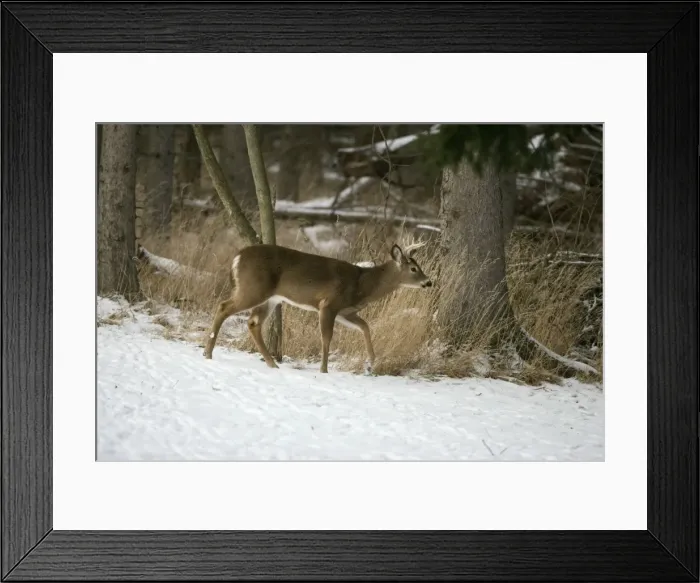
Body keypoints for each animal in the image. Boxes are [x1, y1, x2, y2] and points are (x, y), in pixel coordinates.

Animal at [203, 239, 433, 373]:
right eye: (414, 268)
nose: (429, 282)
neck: (361, 284)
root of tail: (237, 257)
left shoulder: (345, 311)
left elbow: (366, 327)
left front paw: (371, 362)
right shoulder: (329, 304)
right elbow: (326, 338)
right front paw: (324, 370)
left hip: (270, 298)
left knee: (253, 323)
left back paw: (271, 363)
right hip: (254, 288)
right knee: (223, 307)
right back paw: (208, 353)